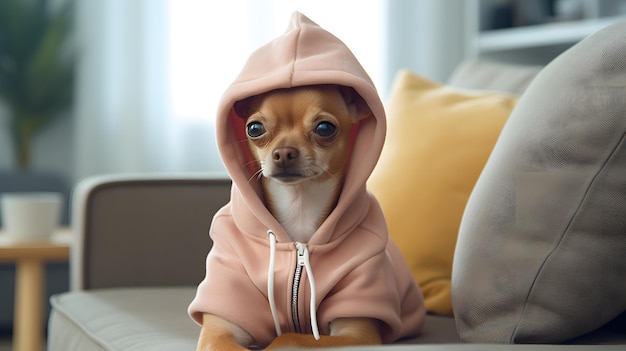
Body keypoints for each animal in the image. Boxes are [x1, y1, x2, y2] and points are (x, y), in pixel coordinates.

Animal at [195, 85, 380, 351]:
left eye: (325, 128)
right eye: (254, 128)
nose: (283, 153)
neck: (299, 208)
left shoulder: (358, 335)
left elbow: (289, 337)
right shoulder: (219, 333)